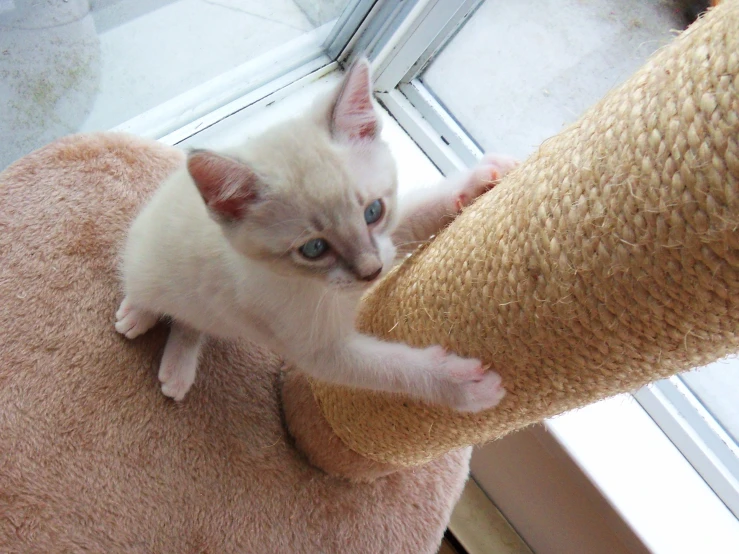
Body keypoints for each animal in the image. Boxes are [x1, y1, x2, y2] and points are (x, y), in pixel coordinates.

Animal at [117, 58, 516, 412]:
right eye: (314, 248)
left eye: (374, 212)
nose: (371, 272)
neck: (314, 286)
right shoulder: (316, 350)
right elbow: (390, 368)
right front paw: (462, 385)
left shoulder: (386, 239)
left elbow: (418, 214)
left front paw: (480, 180)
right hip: (153, 268)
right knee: (159, 299)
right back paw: (138, 318)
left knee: (194, 320)